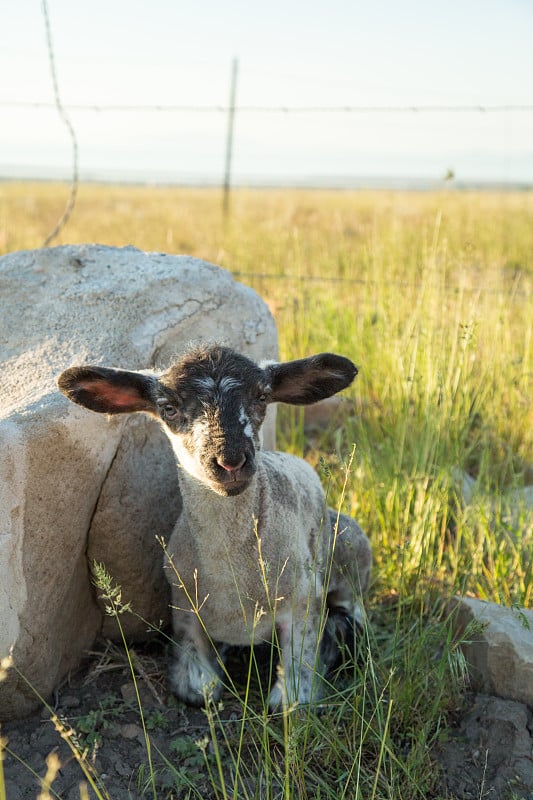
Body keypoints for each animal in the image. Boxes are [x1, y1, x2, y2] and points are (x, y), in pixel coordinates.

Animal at [58, 344, 372, 708]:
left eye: (262, 397)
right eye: (168, 408)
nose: (230, 461)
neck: (231, 575)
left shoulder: (303, 599)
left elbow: (298, 667)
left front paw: (295, 691)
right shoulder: (183, 602)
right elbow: (195, 686)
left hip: (349, 543)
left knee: (354, 604)